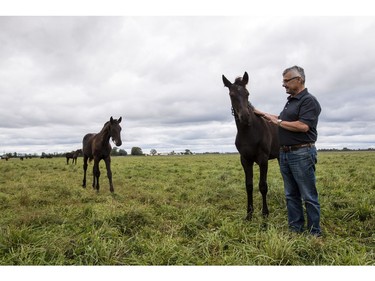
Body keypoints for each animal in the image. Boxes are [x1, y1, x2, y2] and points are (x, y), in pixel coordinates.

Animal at [223, 71, 280, 219]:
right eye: (231, 95)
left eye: (247, 93)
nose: (245, 117)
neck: (249, 133)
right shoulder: (245, 160)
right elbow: (249, 185)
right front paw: (249, 214)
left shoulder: (263, 159)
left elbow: (263, 186)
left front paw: (265, 214)